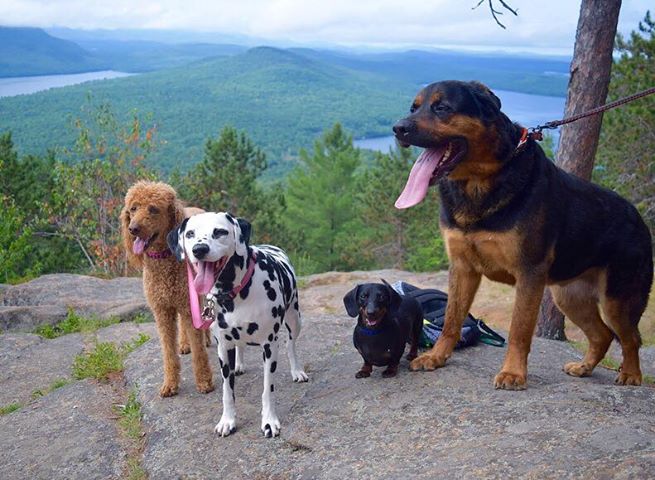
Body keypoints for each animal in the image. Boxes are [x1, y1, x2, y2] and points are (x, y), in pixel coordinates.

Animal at [121, 182, 214, 396]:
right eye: (133, 208)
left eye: (153, 209)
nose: (133, 229)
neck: (163, 258)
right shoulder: (162, 311)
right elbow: (168, 352)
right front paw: (170, 384)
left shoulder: (187, 303)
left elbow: (199, 351)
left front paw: (204, 381)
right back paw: (184, 344)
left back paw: (205, 338)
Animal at [167, 212, 310, 436]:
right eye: (190, 234)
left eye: (220, 232)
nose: (199, 249)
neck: (233, 294)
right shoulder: (223, 349)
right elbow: (227, 391)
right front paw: (227, 420)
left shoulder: (269, 346)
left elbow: (268, 389)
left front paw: (269, 421)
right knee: (240, 346)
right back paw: (239, 364)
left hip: (295, 319)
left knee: (291, 344)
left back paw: (296, 370)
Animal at [392, 80, 652, 390]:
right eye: (414, 108)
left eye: (442, 108)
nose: (398, 128)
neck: (480, 181)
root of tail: (639, 219)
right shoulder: (463, 268)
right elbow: (451, 320)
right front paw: (437, 356)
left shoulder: (529, 274)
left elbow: (519, 329)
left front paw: (514, 373)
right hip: (570, 298)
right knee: (603, 335)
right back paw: (584, 367)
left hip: (617, 300)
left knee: (630, 338)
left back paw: (631, 374)